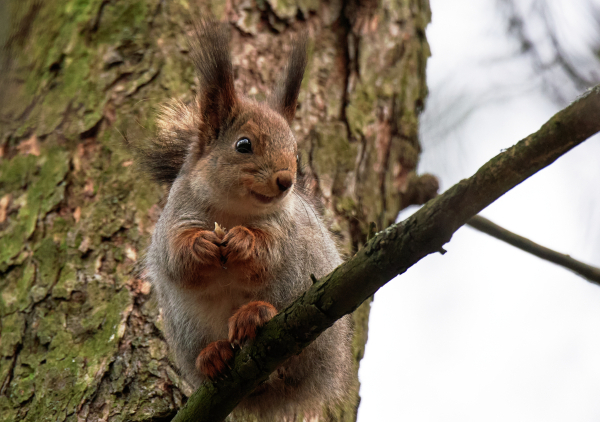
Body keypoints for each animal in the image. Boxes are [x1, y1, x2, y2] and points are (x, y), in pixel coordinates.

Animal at [138, 22, 354, 418]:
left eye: (296, 153)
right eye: (243, 145)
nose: (286, 180)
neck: (232, 210)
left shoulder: (283, 228)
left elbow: (266, 252)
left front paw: (241, 241)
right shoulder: (176, 217)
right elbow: (177, 258)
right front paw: (202, 246)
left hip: (298, 289)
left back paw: (255, 315)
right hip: (186, 326)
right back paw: (213, 355)